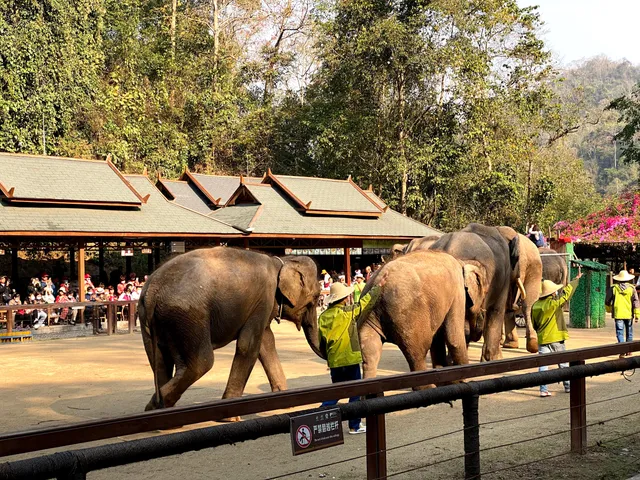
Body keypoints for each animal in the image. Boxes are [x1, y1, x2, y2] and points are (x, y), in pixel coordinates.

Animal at [139, 247, 322, 411]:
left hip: (152, 320)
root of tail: (152, 291)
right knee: (202, 362)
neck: (281, 261)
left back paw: (156, 409)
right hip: (187, 317)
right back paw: (159, 405)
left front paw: (285, 402)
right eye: (316, 297)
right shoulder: (263, 299)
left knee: (159, 361)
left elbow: (267, 344)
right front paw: (231, 415)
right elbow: (248, 346)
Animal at [357, 250, 487, 382]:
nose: (482, 313)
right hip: (409, 317)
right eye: (485, 293)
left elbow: (438, 341)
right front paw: (462, 380)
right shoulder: (458, 292)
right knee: (417, 355)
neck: (462, 261)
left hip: (368, 315)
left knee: (370, 354)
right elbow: (454, 339)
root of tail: (379, 284)